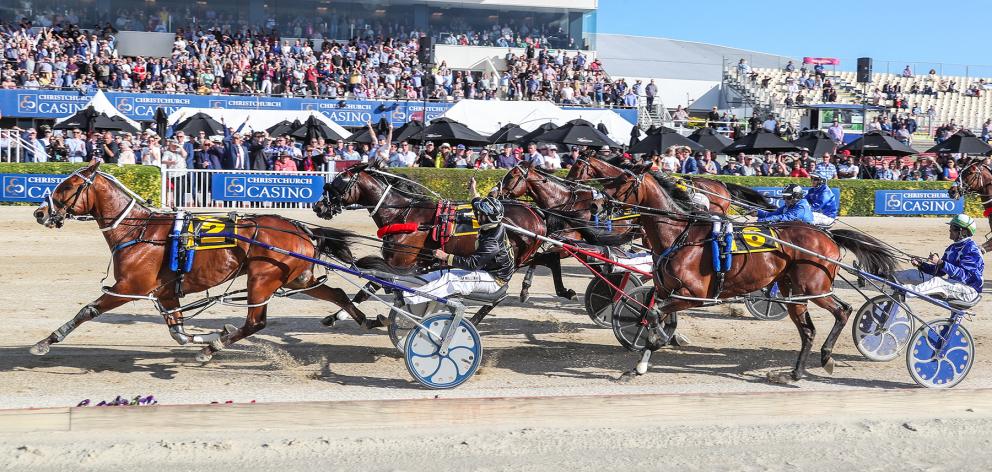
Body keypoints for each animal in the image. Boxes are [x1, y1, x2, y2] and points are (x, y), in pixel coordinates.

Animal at [33, 159, 372, 362]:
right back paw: (365, 319)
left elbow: (88, 310)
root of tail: (302, 229)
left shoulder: (130, 286)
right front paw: (211, 333)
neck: (139, 231)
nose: (39, 212)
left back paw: (212, 350)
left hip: (261, 279)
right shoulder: (166, 293)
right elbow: (178, 332)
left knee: (255, 322)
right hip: (298, 279)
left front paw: (47, 341)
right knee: (335, 293)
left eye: (66, 186)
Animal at [564, 156, 900, 384]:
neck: (680, 235)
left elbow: (656, 316)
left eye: (622, 181)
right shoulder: (664, 290)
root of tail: (826, 236)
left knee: (843, 310)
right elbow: (652, 316)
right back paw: (793, 373)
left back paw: (827, 357)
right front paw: (640, 364)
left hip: (814, 287)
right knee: (807, 330)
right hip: (793, 292)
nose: (596, 204)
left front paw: (657, 344)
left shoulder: (692, 295)